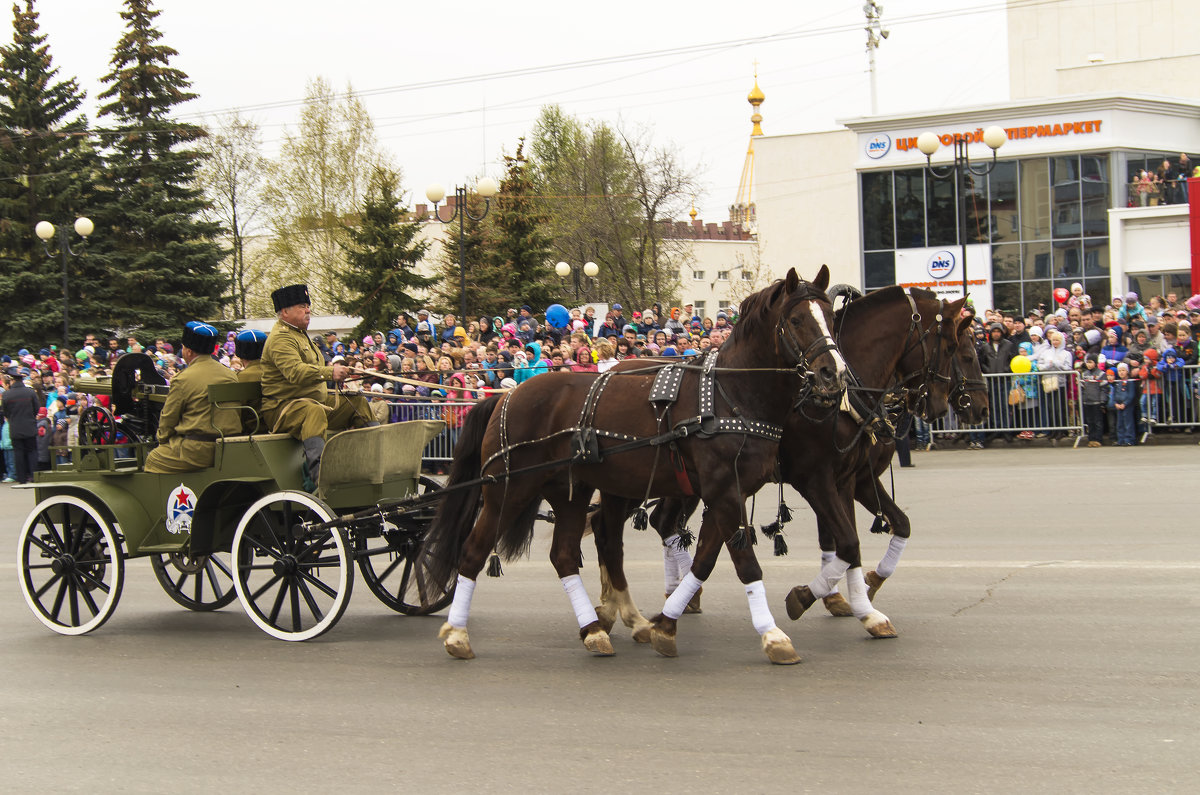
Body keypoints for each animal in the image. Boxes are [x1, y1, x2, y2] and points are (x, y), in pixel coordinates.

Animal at [422, 267, 844, 667]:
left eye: (829, 316)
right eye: (796, 320)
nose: (833, 373)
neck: (728, 396)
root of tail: (505, 395)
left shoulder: (725, 493)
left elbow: (704, 561)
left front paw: (666, 625)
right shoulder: (725, 491)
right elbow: (747, 566)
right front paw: (773, 636)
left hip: (572, 493)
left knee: (567, 554)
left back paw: (597, 628)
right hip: (507, 491)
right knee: (474, 551)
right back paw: (457, 634)